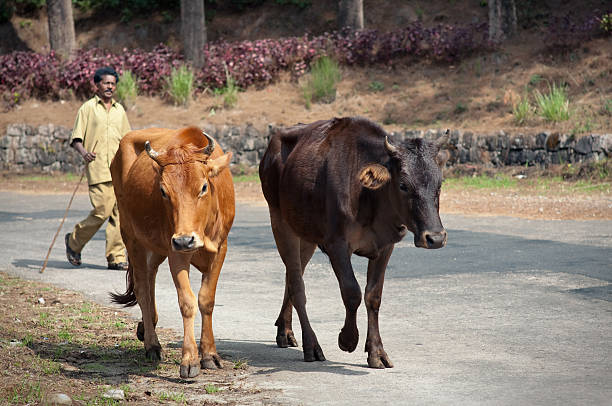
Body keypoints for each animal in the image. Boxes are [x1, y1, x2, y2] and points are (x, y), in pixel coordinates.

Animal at [110, 126, 234, 378]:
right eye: (163, 191)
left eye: (203, 187)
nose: (186, 239)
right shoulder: (176, 251)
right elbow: (187, 302)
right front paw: (190, 360)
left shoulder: (220, 248)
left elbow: (206, 300)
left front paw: (210, 354)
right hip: (132, 237)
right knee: (142, 287)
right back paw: (152, 344)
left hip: (155, 247)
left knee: (150, 279)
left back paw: (146, 326)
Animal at [260, 116, 450, 368]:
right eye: (403, 185)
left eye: (439, 184)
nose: (435, 237)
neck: (369, 197)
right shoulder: (337, 244)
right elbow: (352, 292)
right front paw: (348, 340)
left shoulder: (385, 246)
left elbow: (373, 296)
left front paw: (377, 352)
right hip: (280, 221)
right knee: (297, 284)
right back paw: (312, 345)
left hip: (306, 233)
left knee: (291, 276)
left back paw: (285, 331)